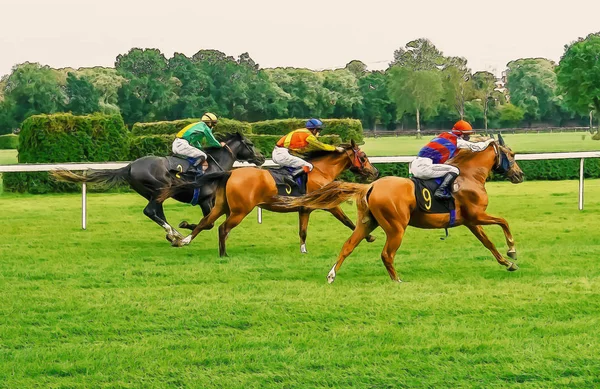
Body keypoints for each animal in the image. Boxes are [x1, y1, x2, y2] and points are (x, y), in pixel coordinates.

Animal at [50, 132, 266, 241]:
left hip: (154, 193)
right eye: (250, 143)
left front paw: (185, 228)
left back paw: (173, 233)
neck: (214, 166)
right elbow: (208, 222)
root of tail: (129, 166)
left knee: (155, 212)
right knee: (150, 211)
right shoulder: (205, 200)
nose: (262, 157)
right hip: (161, 189)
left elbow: (209, 222)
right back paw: (174, 232)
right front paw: (186, 225)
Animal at [157, 138, 378, 256]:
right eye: (363, 157)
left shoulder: (305, 209)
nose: (374, 172)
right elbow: (348, 221)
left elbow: (303, 232)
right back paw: (223, 253)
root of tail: (230, 173)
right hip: (240, 211)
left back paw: (183, 240)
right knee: (222, 228)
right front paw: (368, 236)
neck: (321, 171)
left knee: (205, 222)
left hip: (221, 206)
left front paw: (303, 250)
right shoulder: (329, 205)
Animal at [276, 134, 524, 282]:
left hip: (367, 224)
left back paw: (331, 275)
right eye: (512, 154)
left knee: (348, 245)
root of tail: (371, 185)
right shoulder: (477, 215)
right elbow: (504, 221)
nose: (520, 175)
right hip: (396, 227)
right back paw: (397, 280)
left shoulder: (471, 221)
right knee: (387, 254)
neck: (469, 176)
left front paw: (507, 263)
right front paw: (512, 250)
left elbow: (488, 243)